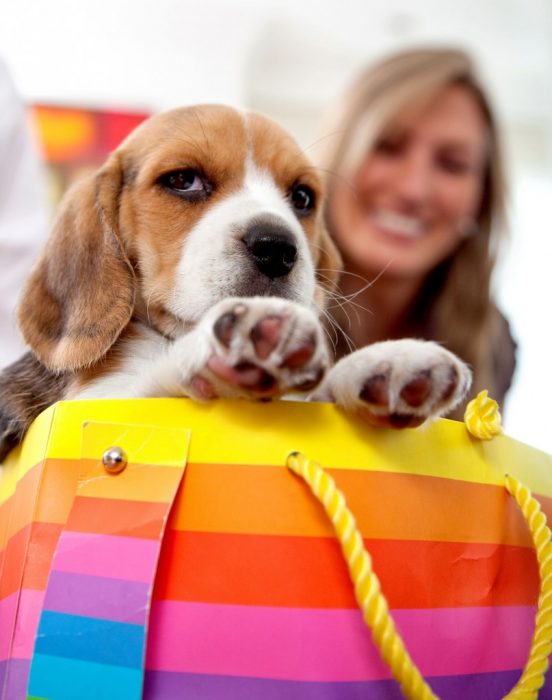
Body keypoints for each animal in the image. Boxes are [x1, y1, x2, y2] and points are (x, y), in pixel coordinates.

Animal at [0, 105, 470, 460]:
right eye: (182, 180)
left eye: (302, 197)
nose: (277, 247)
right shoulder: (92, 402)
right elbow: (157, 375)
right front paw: (243, 338)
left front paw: (388, 363)